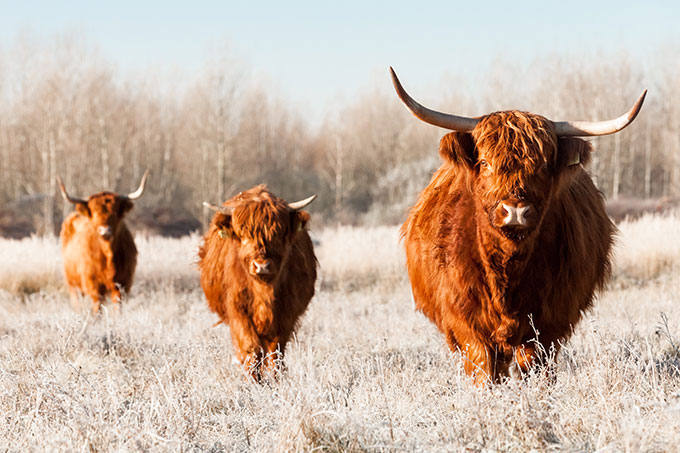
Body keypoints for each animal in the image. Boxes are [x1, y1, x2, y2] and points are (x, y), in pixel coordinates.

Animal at [57, 170, 149, 314]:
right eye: (94, 212)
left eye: (115, 212)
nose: (105, 230)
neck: (108, 253)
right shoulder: (94, 286)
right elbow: (97, 309)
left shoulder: (122, 284)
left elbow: (118, 308)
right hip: (72, 284)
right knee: (76, 301)